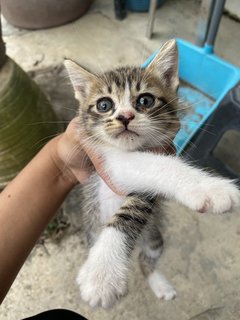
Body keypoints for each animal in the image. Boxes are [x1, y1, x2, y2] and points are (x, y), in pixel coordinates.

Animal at [64, 39, 240, 308]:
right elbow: (154, 166)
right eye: (104, 105)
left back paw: (158, 283)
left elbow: (138, 200)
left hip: (155, 239)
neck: (131, 148)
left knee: (145, 259)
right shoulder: (104, 161)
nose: (125, 117)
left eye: (145, 101)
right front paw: (102, 272)